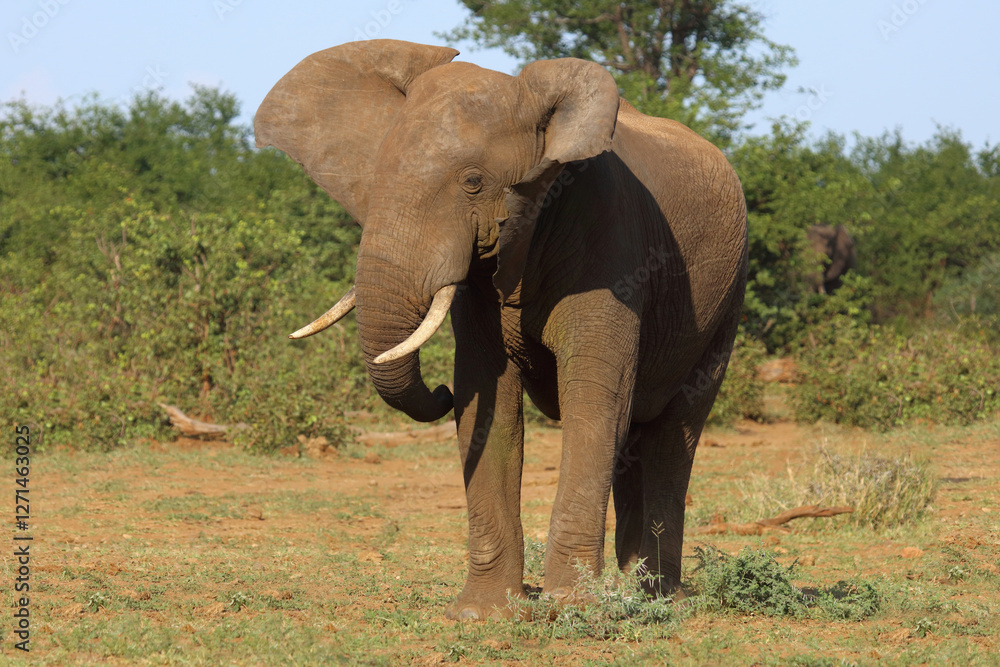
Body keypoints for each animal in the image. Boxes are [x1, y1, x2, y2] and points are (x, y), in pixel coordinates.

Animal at [255, 39, 748, 620]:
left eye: (473, 183)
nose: (436, 391)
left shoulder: (614, 242)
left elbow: (595, 397)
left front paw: (570, 608)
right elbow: (485, 398)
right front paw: (483, 613)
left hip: (728, 298)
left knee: (675, 431)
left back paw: (659, 596)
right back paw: (634, 587)